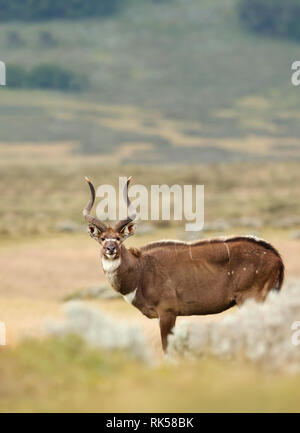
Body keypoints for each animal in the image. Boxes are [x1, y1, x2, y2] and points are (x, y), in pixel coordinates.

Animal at [83, 176, 284, 352]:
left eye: (118, 238)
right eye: (102, 238)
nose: (110, 249)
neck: (141, 269)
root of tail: (276, 256)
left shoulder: (167, 312)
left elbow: (168, 350)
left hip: (252, 300)